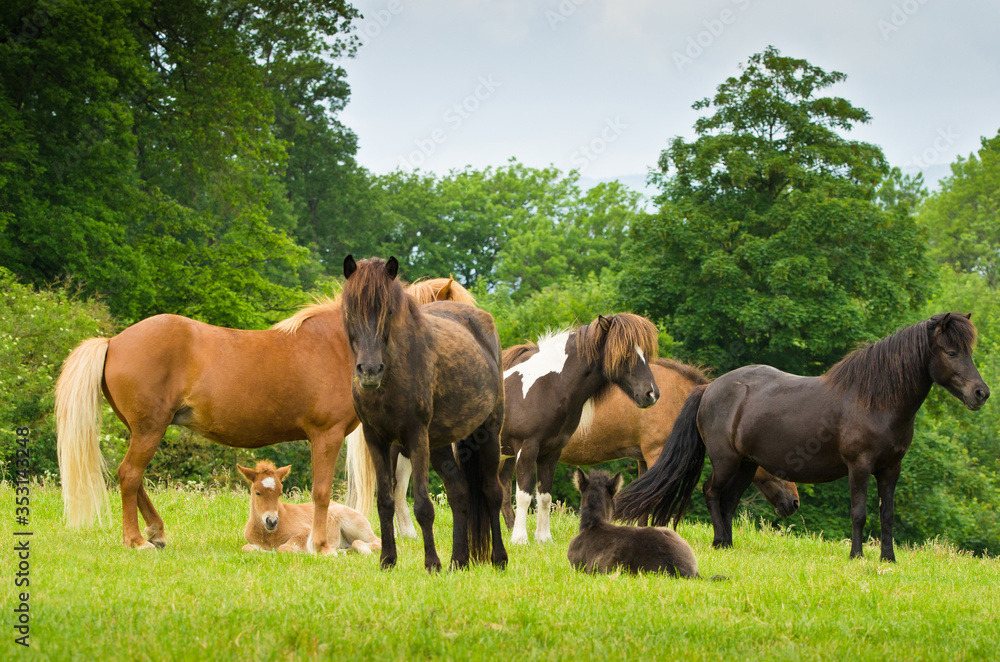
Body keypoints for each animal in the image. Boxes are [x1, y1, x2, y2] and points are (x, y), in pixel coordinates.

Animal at [238, 461, 381, 554]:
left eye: (279, 493)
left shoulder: (305, 532)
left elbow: (283, 548)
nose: (271, 521)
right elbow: (246, 548)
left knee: (375, 541)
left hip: (355, 526)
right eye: (258, 492)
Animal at [341, 255, 507, 571]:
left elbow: (423, 505)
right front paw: (388, 559)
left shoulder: (416, 437)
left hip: (488, 433)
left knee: (492, 491)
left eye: (389, 311)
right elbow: (385, 501)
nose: (369, 371)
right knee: (459, 492)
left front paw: (431, 563)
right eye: (349, 310)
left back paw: (499, 558)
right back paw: (459, 560)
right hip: (440, 444)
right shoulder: (376, 439)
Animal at [501, 316, 660, 545]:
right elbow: (523, 496)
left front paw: (544, 539)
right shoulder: (526, 448)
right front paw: (520, 539)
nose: (651, 394)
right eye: (624, 354)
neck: (546, 386)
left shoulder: (551, 452)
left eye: (645, 353)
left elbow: (544, 497)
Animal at [616, 313, 990, 561]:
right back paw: (720, 541)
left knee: (728, 500)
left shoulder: (890, 469)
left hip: (747, 465)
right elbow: (859, 512)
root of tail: (709, 388)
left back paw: (729, 543)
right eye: (951, 352)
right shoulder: (859, 466)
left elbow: (887, 514)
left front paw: (889, 558)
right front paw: (857, 557)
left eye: (968, 351)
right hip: (726, 461)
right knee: (712, 493)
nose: (981, 393)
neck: (875, 400)